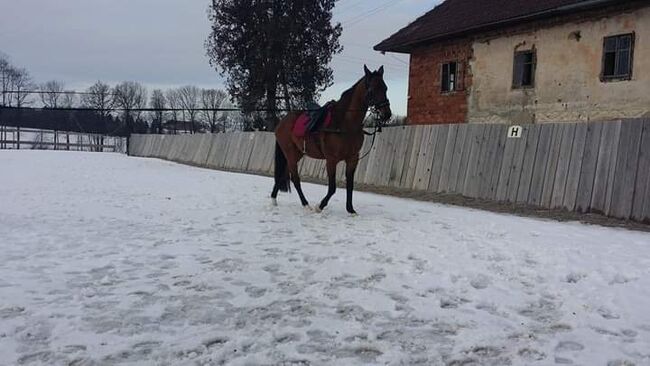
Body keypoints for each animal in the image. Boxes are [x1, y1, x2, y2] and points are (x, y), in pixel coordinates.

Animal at [272, 66, 392, 214]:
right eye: (372, 90)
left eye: (385, 88)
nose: (387, 114)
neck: (344, 123)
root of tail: (281, 122)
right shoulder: (331, 160)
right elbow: (332, 188)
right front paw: (320, 206)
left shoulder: (352, 159)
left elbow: (350, 185)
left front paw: (350, 209)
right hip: (290, 154)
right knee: (295, 179)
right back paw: (305, 204)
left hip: (296, 154)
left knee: (282, 174)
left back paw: (274, 199)